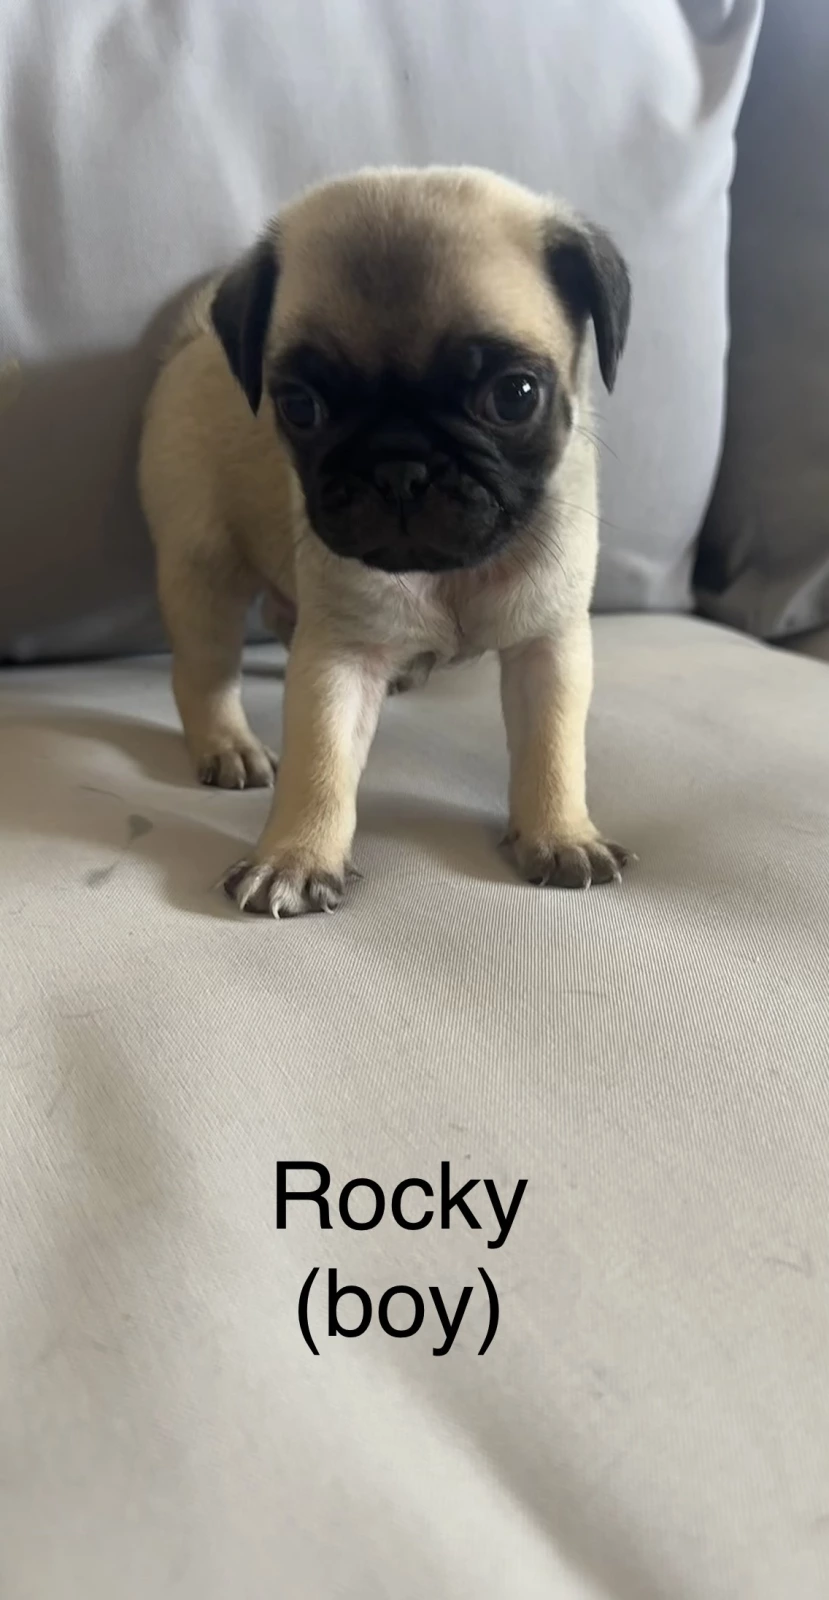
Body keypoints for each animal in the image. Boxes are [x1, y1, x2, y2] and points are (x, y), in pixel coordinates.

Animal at [138, 165, 632, 917]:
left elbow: (552, 749)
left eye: (514, 396)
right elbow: (320, 763)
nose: (400, 466)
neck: (450, 572)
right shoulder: (339, 656)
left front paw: (559, 834)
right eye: (300, 407)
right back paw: (226, 743)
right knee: (204, 671)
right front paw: (295, 856)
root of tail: (193, 345)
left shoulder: (547, 646)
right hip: (204, 570)